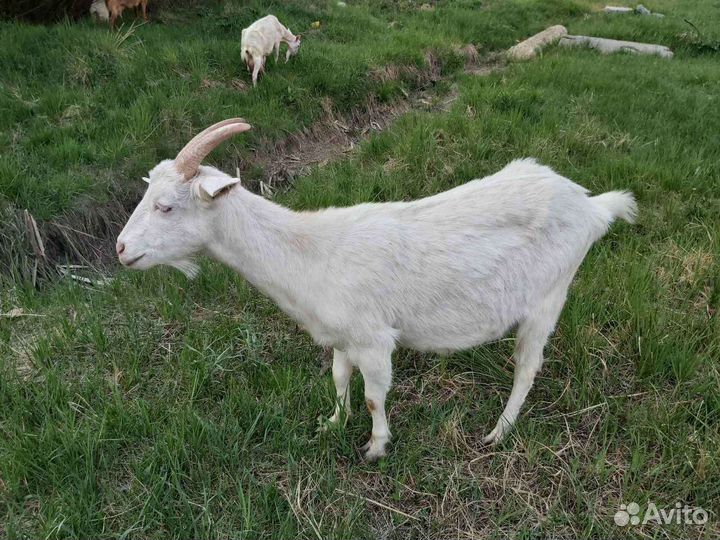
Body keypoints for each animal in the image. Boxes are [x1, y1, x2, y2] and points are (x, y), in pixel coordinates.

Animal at [116, 119, 637, 460]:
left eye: (165, 206)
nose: (121, 249)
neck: (310, 252)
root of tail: (592, 206)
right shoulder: (342, 336)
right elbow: (338, 379)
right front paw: (333, 423)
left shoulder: (373, 338)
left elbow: (373, 395)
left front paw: (376, 446)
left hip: (549, 296)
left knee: (528, 367)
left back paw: (498, 433)